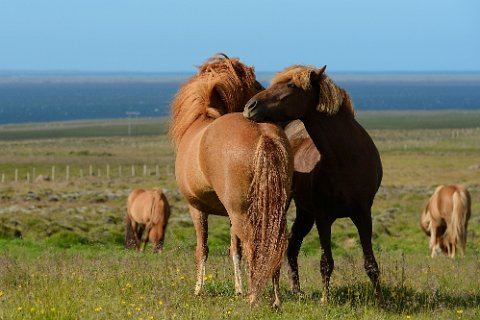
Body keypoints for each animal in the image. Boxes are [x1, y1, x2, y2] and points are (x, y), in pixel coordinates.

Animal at [171, 54, 294, 308]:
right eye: (255, 84)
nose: (254, 106)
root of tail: (263, 133)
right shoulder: (228, 215)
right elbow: (233, 249)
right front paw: (237, 289)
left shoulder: (196, 208)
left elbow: (203, 249)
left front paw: (198, 290)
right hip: (274, 212)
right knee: (275, 246)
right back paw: (275, 299)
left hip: (242, 213)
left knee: (254, 248)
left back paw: (253, 297)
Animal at [246, 65, 384, 308]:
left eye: (291, 85)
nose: (250, 106)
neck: (345, 158)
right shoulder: (324, 218)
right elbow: (326, 262)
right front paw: (325, 299)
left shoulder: (363, 214)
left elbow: (370, 263)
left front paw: (381, 302)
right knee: (281, 244)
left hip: (305, 212)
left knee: (292, 244)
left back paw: (297, 290)